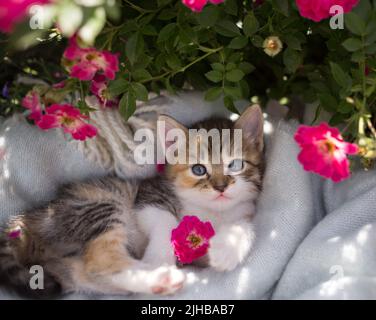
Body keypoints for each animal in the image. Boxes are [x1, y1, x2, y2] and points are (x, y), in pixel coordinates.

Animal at [0, 105, 264, 298]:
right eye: (199, 169)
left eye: (235, 165)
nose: (220, 187)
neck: (212, 211)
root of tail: (35, 213)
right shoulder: (148, 195)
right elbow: (165, 220)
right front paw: (158, 258)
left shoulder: (243, 211)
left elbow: (245, 225)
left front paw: (227, 249)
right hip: (100, 204)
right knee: (100, 262)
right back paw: (160, 275)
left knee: (88, 273)